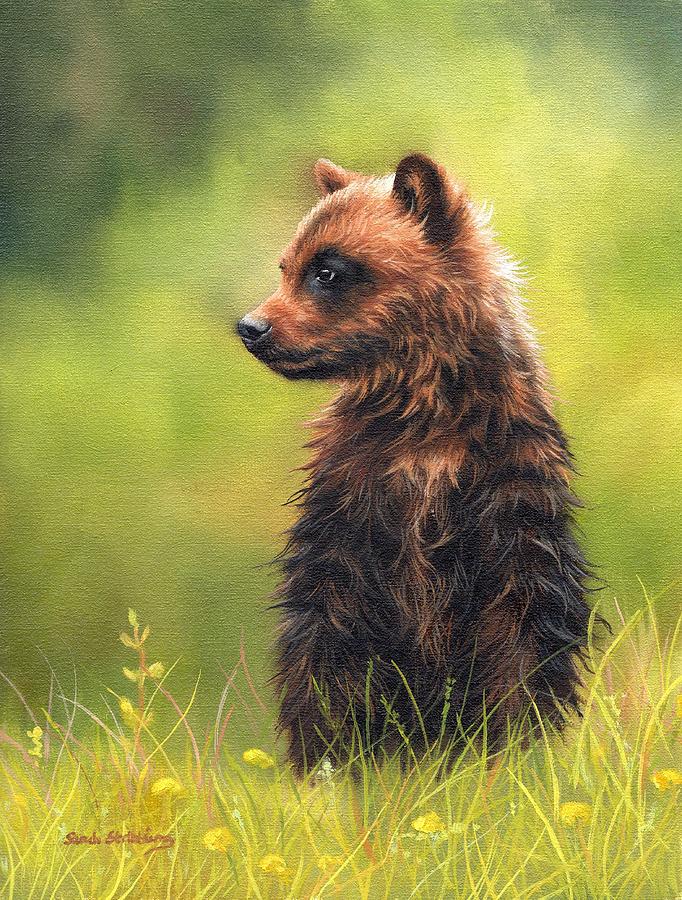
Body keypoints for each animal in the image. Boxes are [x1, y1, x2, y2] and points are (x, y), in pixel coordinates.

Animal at [237, 153, 599, 776]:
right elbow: (327, 644)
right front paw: (332, 765)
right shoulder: (354, 498)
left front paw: (516, 757)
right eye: (288, 264)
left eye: (327, 270)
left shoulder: (507, 493)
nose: (251, 327)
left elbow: (523, 638)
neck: (425, 410)